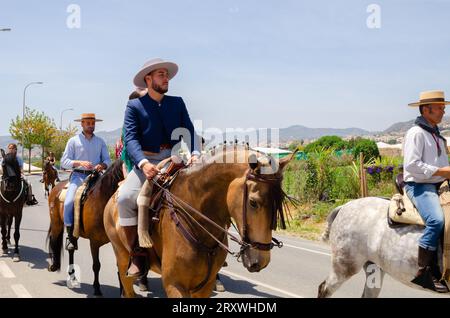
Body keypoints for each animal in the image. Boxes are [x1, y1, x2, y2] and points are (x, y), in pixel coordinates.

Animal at [46, 160, 126, 296]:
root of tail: (56, 188)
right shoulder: (94, 242)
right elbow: (96, 265)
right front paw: (97, 288)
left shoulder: (115, 243)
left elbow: (120, 265)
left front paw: (123, 291)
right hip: (56, 223)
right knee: (54, 240)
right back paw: (54, 266)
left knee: (71, 249)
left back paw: (72, 275)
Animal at [105, 148, 296, 296]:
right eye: (253, 202)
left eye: (279, 203)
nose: (261, 261)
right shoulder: (174, 285)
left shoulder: (204, 286)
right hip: (122, 257)